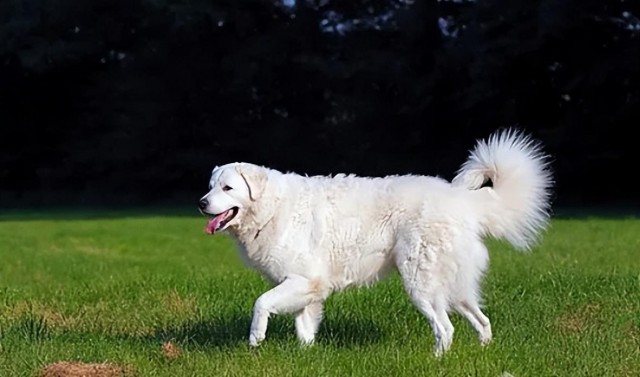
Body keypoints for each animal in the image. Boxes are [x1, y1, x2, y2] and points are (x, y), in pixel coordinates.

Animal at [199, 128, 552, 354]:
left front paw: (256, 337)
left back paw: (435, 361)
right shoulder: (308, 288)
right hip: (453, 288)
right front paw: (307, 356)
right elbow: (305, 328)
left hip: (421, 284)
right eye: (211, 186)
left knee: (445, 328)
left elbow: (261, 303)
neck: (270, 207)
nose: (202, 203)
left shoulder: (302, 279)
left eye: (228, 188)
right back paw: (482, 350)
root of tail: (462, 200)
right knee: (481, 320)